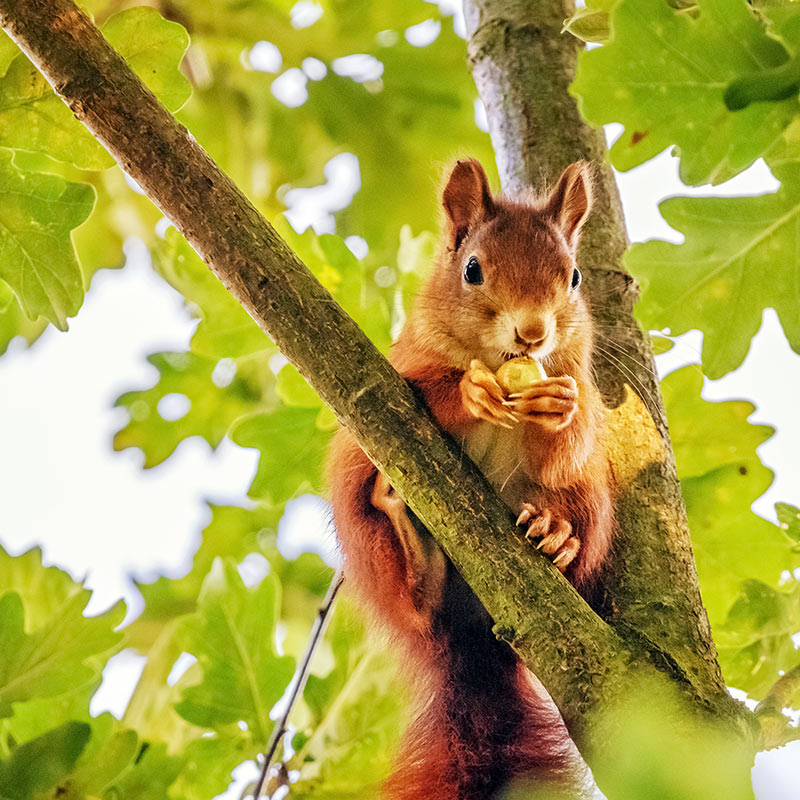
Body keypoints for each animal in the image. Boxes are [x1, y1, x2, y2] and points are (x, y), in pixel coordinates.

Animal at [328, 158, 614, 800]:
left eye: (575, 276)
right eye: (473, 270)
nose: (533, 333)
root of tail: (475, 638)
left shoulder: (581, 393)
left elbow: (568, 444)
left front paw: (559, 406)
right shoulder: (403, 364)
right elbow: (427, 387)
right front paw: (472, 391)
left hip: (595, 502)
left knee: (578, 526)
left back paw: (557, 536)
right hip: (360, 520)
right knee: (415, 605)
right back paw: (411, 541)